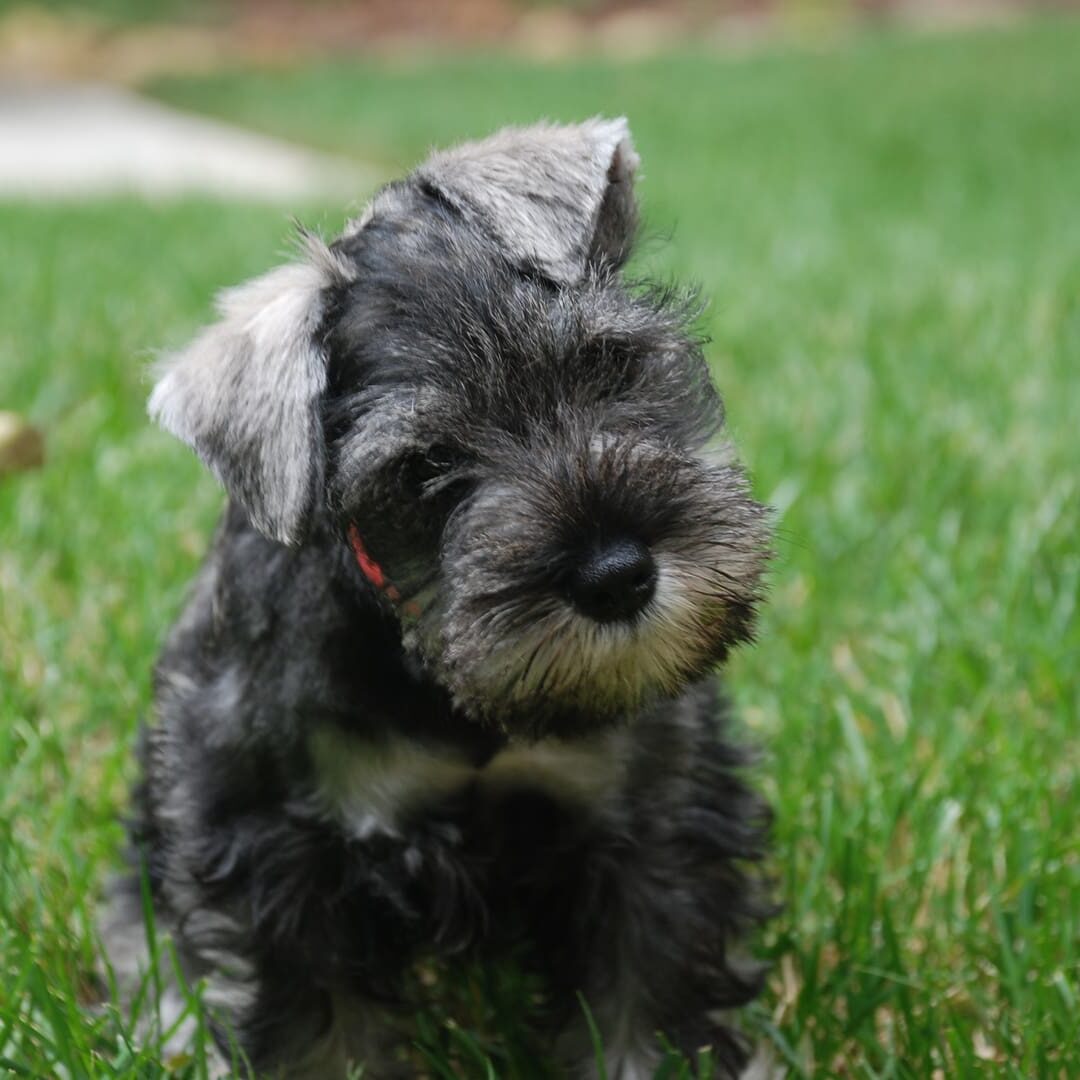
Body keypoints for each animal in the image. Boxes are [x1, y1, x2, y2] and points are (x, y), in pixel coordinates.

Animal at [101, 120, 773, 1080]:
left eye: (609, 363)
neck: (446, 686)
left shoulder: (655, 822)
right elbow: (317, 1035)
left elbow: (644, 1008)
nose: (618, 575)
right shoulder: (278, 853)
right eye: (424, 467)